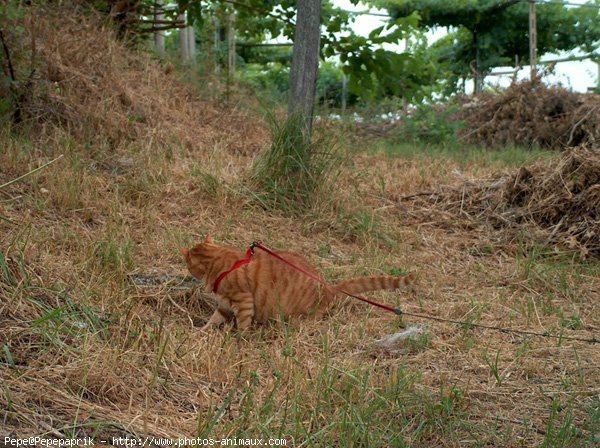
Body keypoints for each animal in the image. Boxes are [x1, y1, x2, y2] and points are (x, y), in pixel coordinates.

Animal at [180, 238, 414, 328]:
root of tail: (329, 287)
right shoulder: (224, 305)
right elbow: (214, 319)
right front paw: (202, 331)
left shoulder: (243, 301)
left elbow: (243, 325)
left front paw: (238, 339)